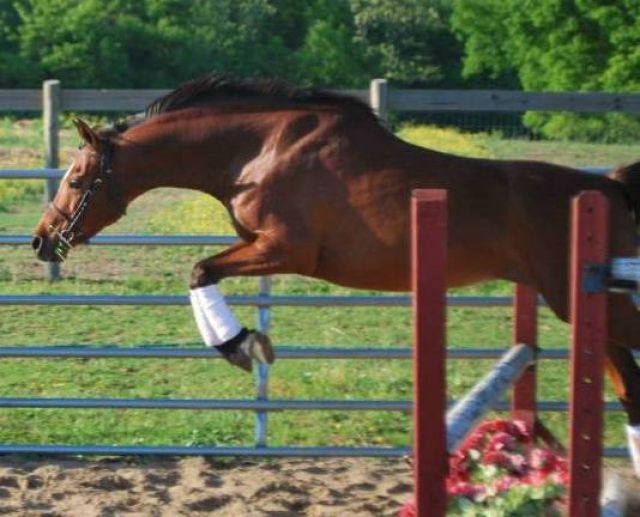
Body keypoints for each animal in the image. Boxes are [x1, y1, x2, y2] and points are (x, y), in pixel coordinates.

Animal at [31, 74, 640, 467]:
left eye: (78, 179)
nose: (42, 242)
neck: (259, 152)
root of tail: (608, 188)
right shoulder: (256, 244)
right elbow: (205, 270)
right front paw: (243, 342)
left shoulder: (288, 250)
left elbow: (199, 270)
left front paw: (241, 346)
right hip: (589, 307)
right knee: (628, 387)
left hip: (585, 301)